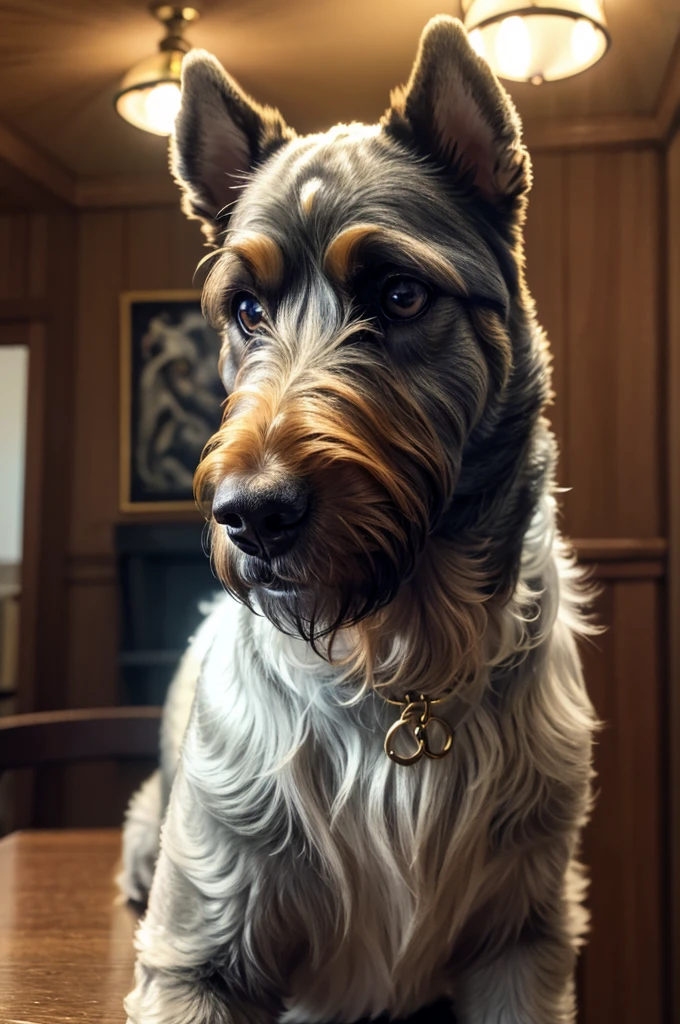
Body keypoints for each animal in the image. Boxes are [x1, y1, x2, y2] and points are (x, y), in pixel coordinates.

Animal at [120, 16, 593, 1024]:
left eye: (400, 295)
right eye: (246, 310)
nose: (249, 516)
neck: (400, 657)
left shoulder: (524, 937)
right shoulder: (198, 950)